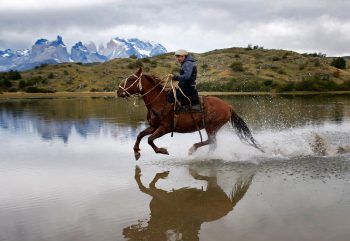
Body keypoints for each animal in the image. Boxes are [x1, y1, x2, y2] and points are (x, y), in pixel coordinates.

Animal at [116, 67, 262, 160]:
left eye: (131, 79)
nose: (118, 91)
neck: (159, 101)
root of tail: (228, 106)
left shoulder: (164, 128)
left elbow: (150, 139)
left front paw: (162, 151)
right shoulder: (153, 126)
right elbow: (140, 135)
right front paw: (136, 152)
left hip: (212, 127)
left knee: (212, 142)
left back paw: (195, 151)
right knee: (212, 143)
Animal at [123, 166, 254, 241]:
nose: (124, 232)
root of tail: (231, 206)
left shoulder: (161, 196)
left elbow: (144, 187)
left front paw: (139, 171)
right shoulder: (159, 194)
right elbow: (149, 184)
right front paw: (162, 174)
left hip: (213, 190)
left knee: (209, 178)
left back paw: (194, 174)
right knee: (210, 178)